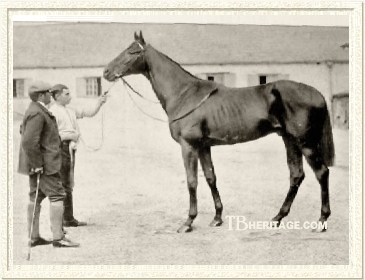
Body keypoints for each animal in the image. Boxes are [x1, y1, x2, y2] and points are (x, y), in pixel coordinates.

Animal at [101, 30, 332, 233]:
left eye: (132, 51)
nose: (106, 72)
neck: (184, 94)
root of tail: (318, 94)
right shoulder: (204, 147)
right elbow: (211, 177)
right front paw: (217, 218)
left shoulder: (189, 146)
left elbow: (192, 181)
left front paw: (188, 222)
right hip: (289, 140)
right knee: (296, 175)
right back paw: (277, 218)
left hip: (306, 143)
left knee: (321, 173)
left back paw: (321, 221)